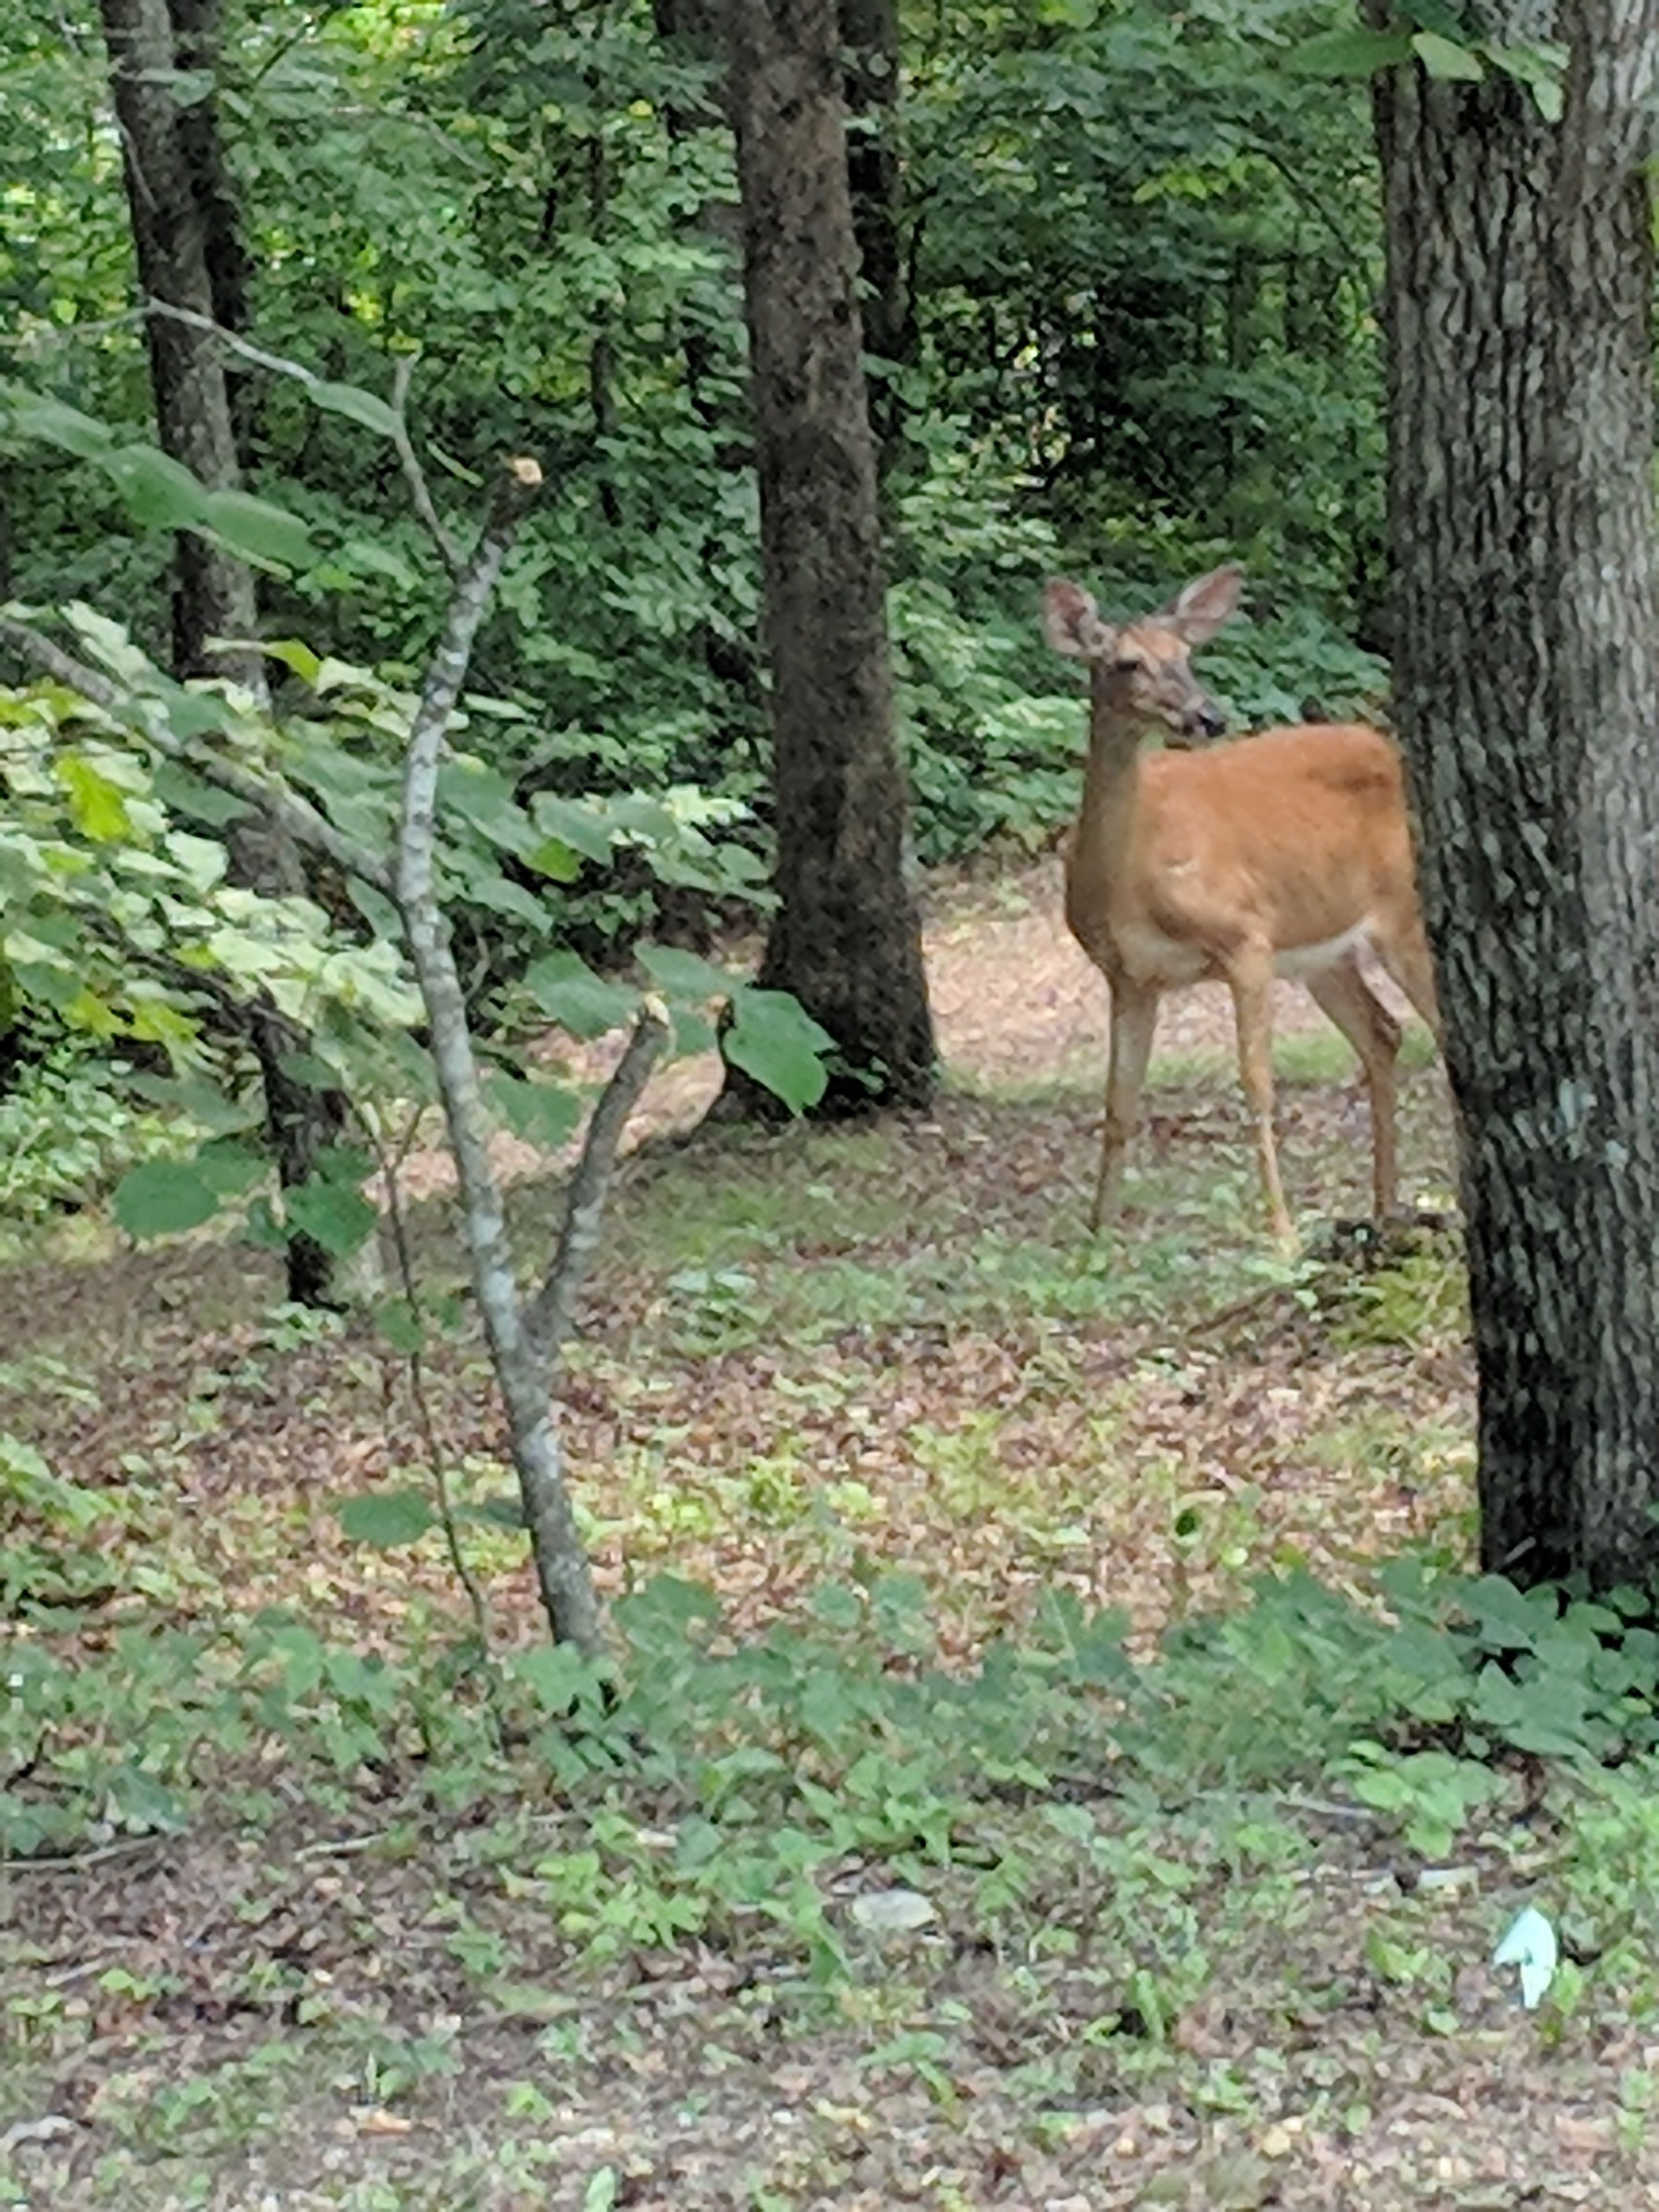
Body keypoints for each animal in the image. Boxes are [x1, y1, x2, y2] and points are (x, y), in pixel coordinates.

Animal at [1044, 562, 1441, 1244]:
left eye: (1187, 654)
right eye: (1127, 663)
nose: (1210, 716)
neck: (1131, 877)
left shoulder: (1246, 936)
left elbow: (1258, 1087)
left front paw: (1282, 1233)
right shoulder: (1129, 975)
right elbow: (1119, 1104)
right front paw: (1099, 1231)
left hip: (1404, 917)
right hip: (1322, 952)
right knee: (1384, 1034)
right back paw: (1384, 1207)